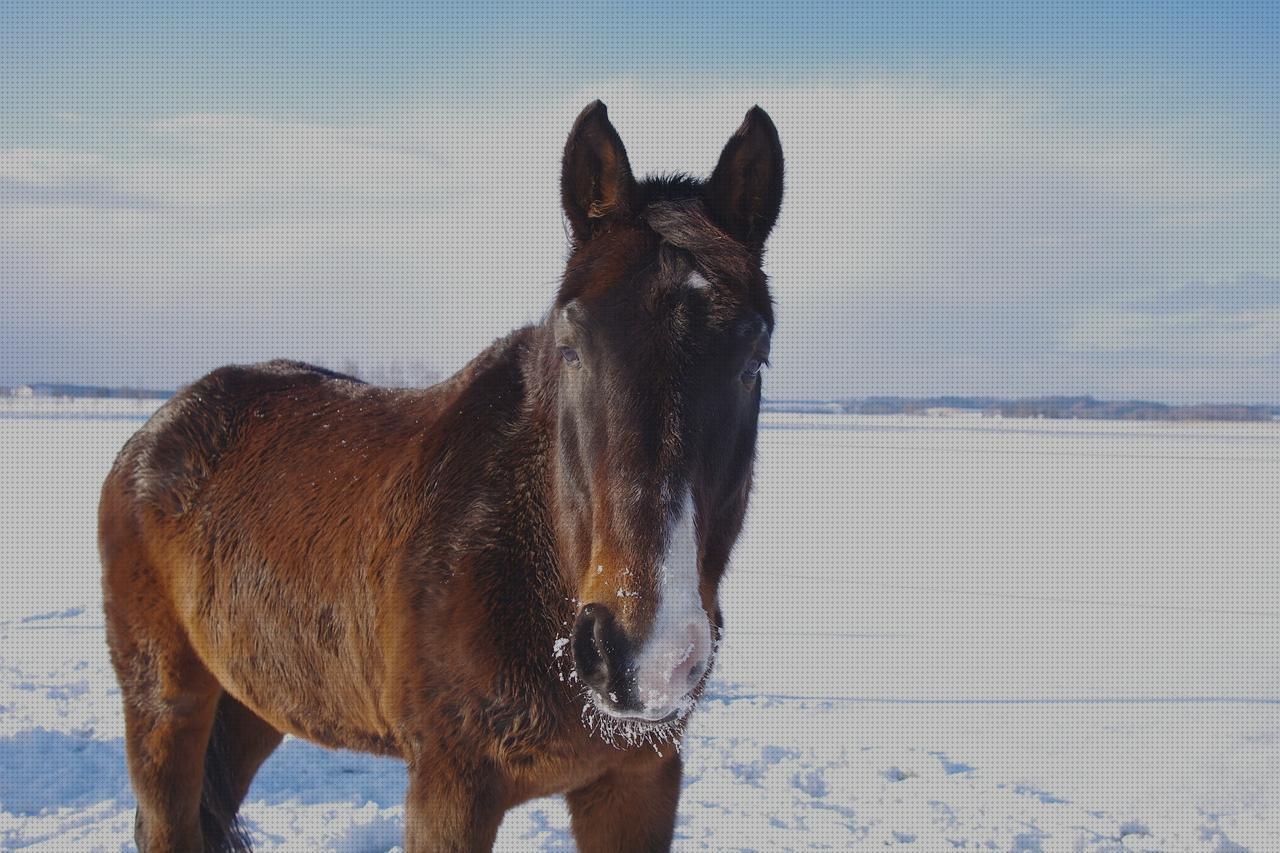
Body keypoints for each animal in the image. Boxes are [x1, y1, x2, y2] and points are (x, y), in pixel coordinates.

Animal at [97, 101, 778, 850]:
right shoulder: (450, 788)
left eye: (754, 360)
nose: (647, 655)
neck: (527, 562)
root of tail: (154, 433)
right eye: (571, 347)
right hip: (166, 700)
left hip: (255, 700)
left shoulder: (637, 782)